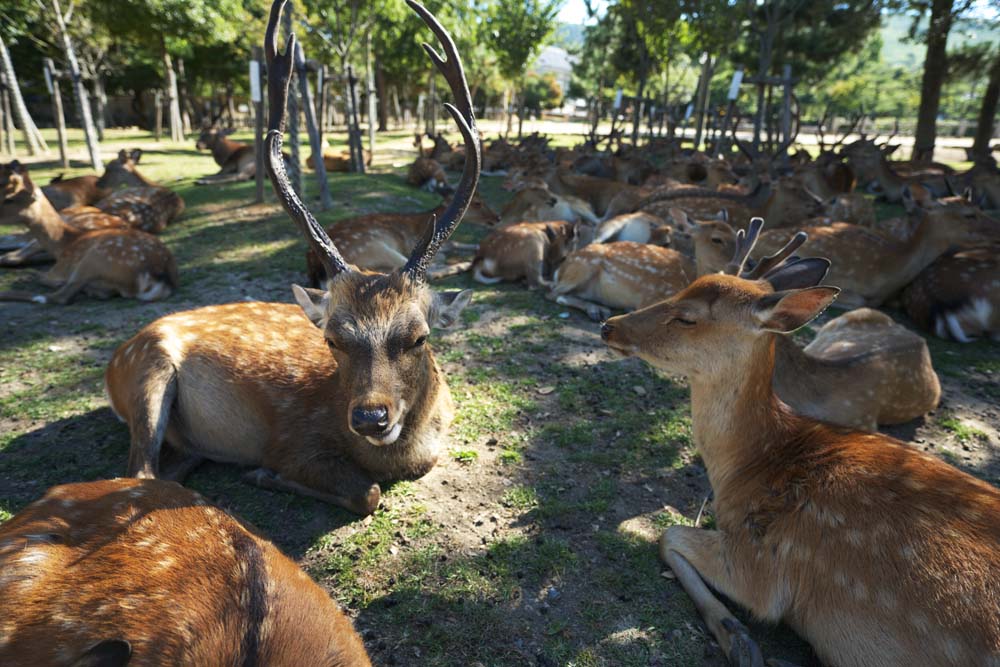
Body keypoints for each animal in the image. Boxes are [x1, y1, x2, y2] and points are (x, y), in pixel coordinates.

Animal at [0, 162, 178, 306]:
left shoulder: (61, 268)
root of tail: (160, 279)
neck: (63, 243)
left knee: (58, 297)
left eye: (9, 199)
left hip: (94, 259)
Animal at [300, 189, 496, 284]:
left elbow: (455, 243)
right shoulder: (415, 243)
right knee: (423, 273)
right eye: (477, 203)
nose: (497, 218)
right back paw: (465, 263)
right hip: (376, 246)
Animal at [600, 219, 1000, 667]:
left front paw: (738, 638)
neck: (748, 466)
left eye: (687, 317)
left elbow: (667, 535)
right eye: (682, 287)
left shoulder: (761, 564)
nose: (609, 325)